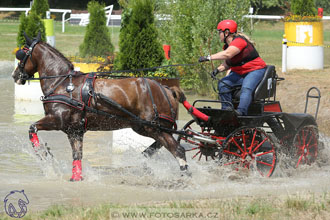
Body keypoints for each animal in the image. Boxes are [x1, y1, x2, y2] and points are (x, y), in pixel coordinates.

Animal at [12, 32, 188, 180]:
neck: (62, 83)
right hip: (145, 127)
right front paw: (76, 177)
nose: (15, 75)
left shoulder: (57, 120)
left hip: (153, 127)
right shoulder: (74, 130)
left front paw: (43, 154)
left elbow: (32, 128)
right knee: (158, 147)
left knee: (177, 150)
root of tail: (167, 89)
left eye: (22, 53)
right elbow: (77, 156)